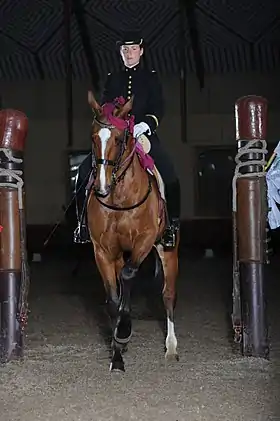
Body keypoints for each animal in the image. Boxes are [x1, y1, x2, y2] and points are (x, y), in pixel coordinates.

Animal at [86, 91, 180, 370]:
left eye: (119, 138)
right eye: (93, 137)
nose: (101, 187)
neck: (119, 196)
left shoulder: (144, 241)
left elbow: (128, 276)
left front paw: (124, 329)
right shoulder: (103, 251)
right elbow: (113, 299)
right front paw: (117, 351)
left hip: (168, 250)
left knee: (168, 295)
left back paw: (171, 347)